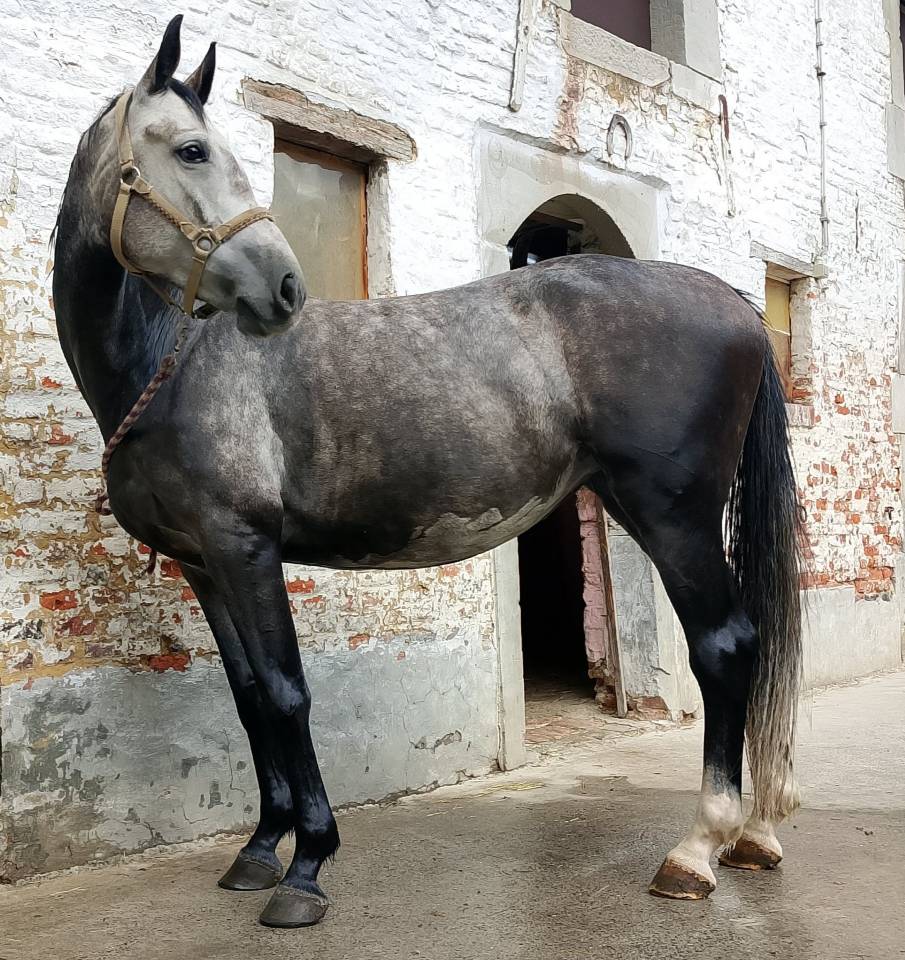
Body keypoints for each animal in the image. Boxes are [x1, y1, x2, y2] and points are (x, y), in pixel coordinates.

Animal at [52, 16, 802, 928]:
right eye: (192, 150)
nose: (284, 287)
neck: (172, 364)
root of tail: (733, 303)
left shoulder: (246, 549)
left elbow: (286, 691)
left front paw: (308, 866)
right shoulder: (204, 564)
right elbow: (247, 696)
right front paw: (260, 850)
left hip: (675, 518)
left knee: (726, 648)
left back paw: (698, 847)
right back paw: (754, 834)